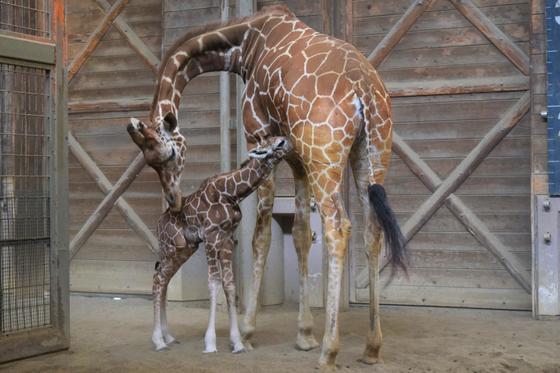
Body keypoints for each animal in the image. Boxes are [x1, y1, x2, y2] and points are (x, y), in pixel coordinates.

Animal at [153, 136, 294, 352]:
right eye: (274, 143)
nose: (287, 141)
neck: (232, 194)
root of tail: (158, 225)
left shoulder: (228, 239)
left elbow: (230, 284)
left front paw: (237, 343)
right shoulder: (211, 237)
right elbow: (214, 283)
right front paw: (210, 343)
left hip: (184, 249)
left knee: (163, 279)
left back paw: (167, 337)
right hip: (171, 247)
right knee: (158, 279)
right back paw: (158, 340)